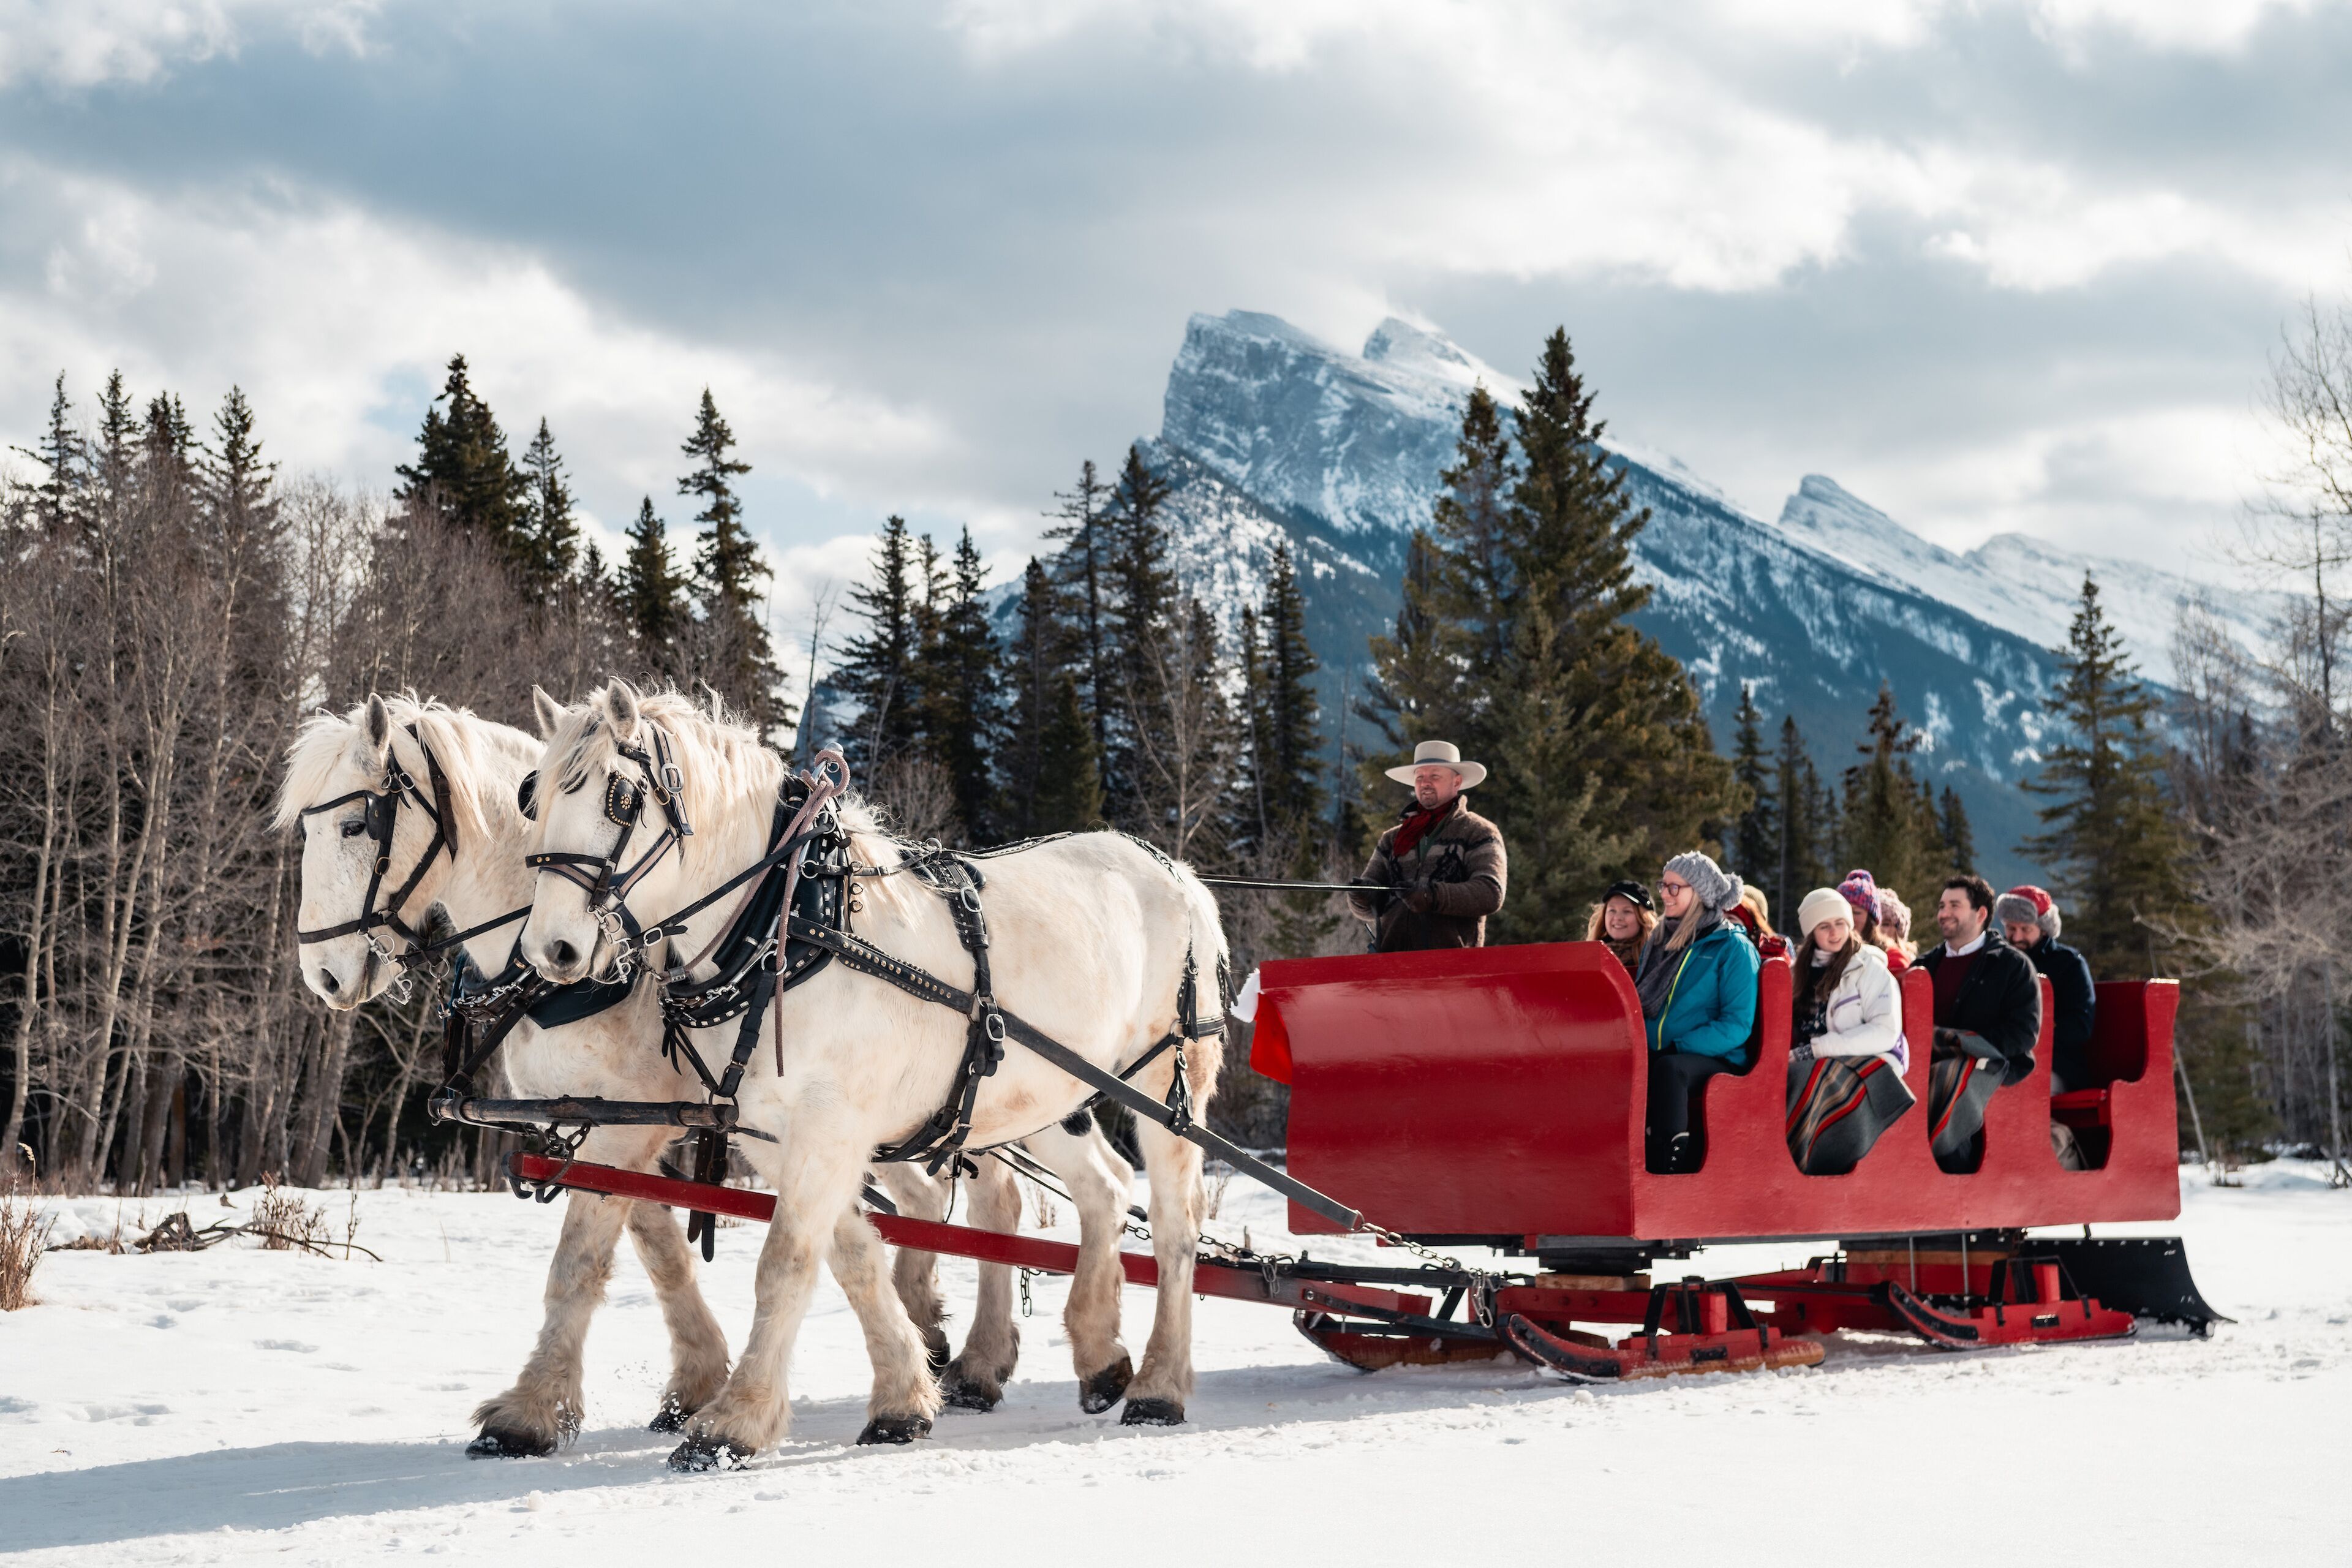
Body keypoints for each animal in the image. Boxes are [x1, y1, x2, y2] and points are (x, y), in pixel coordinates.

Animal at [524, 686, 1223, 1476]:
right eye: (534, 796)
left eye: (619, 796)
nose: (552, 949)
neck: (787, 928)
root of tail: (1178, 872)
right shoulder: (775, 1133)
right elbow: (852, 1254)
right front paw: (903, 1397)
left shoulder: (827, 1126)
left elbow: (786, 1263)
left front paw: (732, 1423)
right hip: (1042, 1094)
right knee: (1104, 1185)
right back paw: (1098, 1354)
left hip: (1168, 1083)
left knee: (1174, 1224)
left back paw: (1159, 1386)